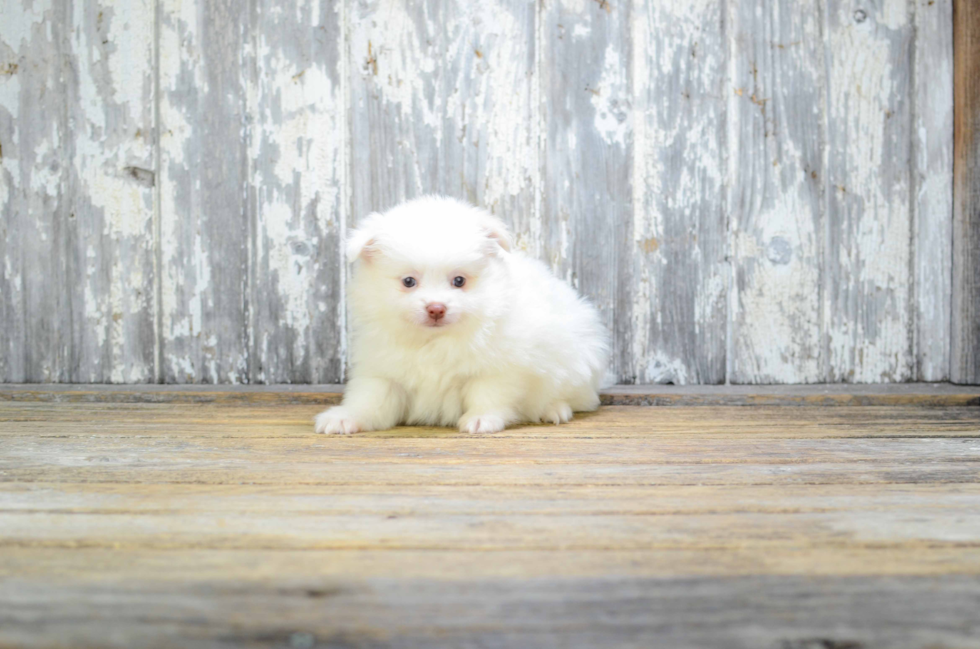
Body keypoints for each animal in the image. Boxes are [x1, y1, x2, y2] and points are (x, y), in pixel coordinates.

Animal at [316, 195, 604, 432]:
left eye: (459, 281)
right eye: (408, 281)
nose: (436, 308)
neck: (433, 341)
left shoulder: (498, 369)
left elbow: (488, 395)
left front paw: (482, 419)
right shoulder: (383, 373)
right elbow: (370, 400)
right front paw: (344, 418)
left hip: (577, 363)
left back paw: (554, 409)